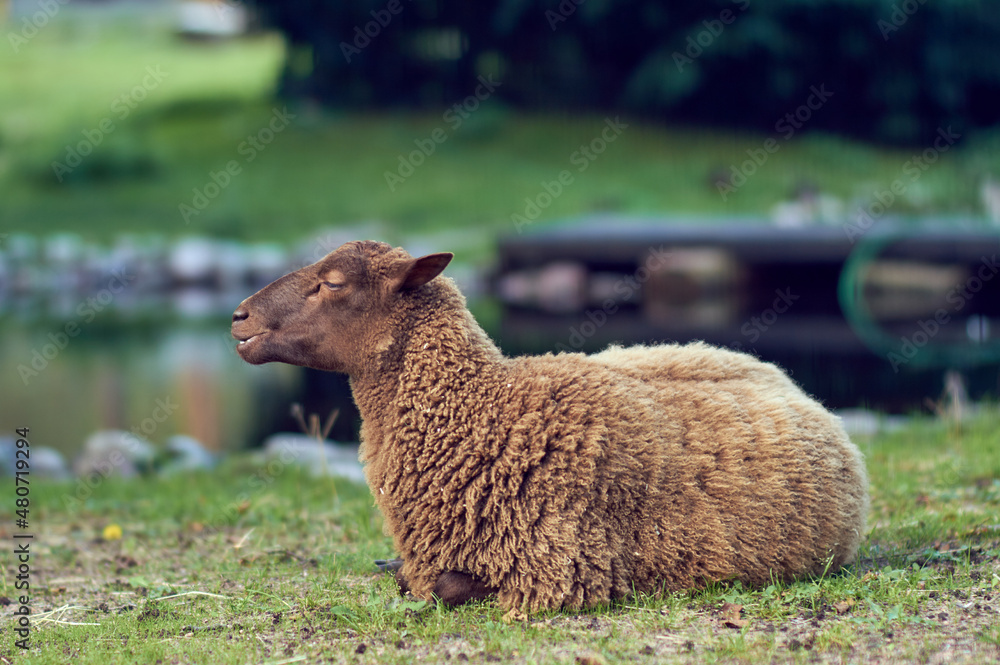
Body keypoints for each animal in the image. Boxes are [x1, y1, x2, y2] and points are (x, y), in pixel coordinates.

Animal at [231, 240, 869, 614]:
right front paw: (392, 567)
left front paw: (412, 580)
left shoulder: (562, 570)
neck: (484, 410)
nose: (239, 317)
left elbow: (439, 587)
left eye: (335, 282)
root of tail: (783, 378)